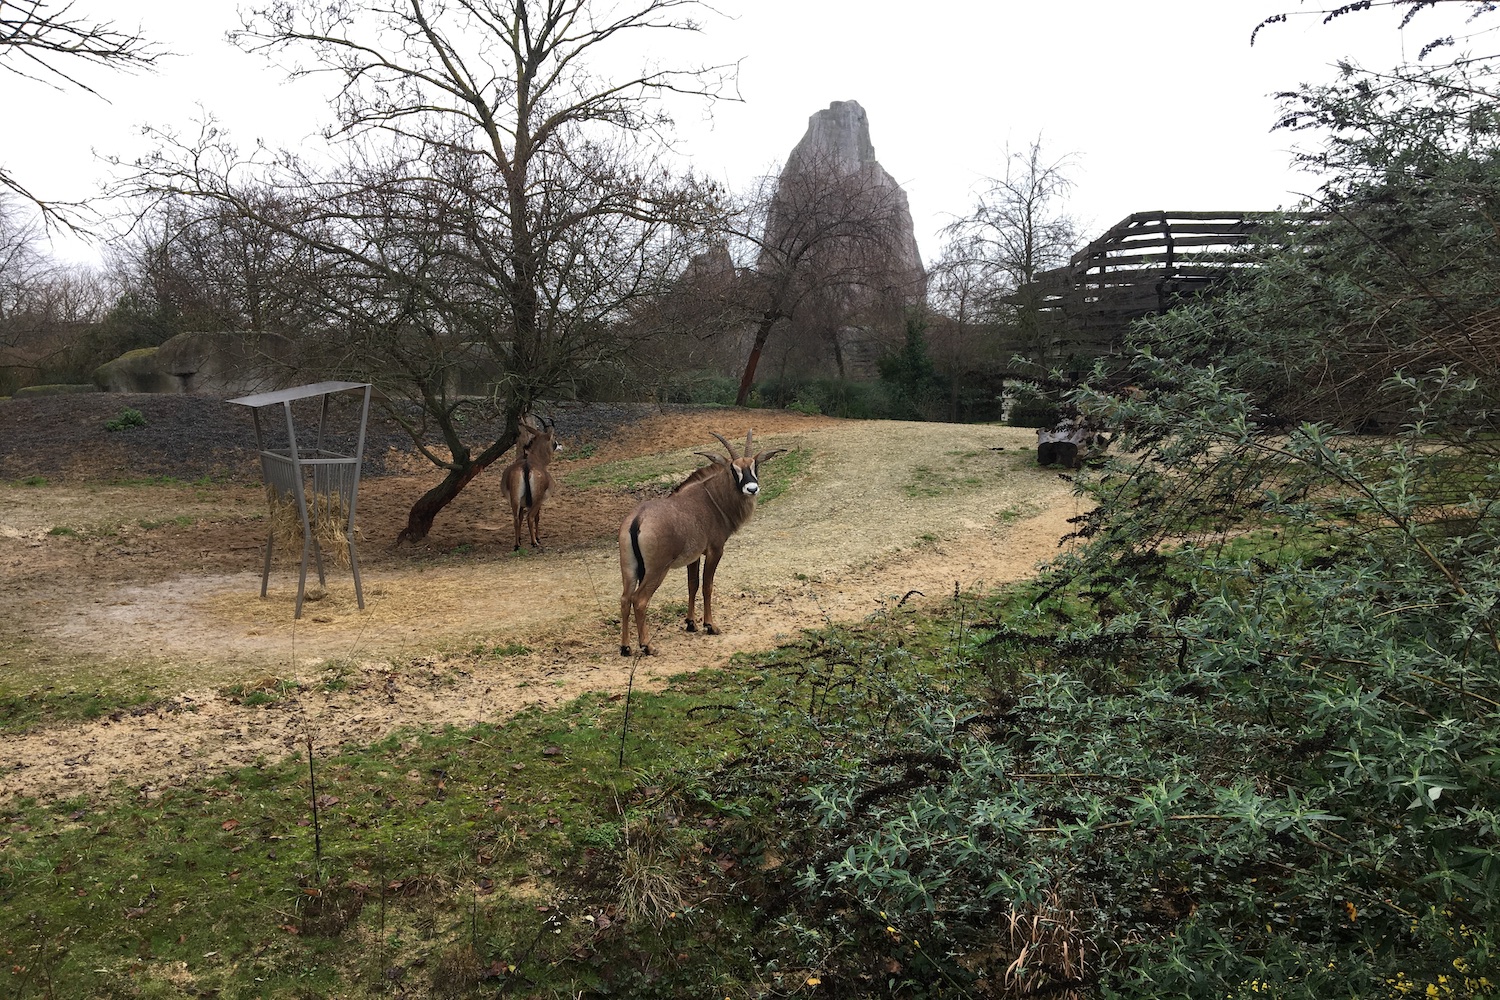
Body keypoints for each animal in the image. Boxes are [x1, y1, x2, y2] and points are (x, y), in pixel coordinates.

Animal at [498, 416, 564, 554]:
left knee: (516, 518)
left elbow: (520, 517)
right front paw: (538, 538)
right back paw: (534, 543)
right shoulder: (540, 501)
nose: (560, 445)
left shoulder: (522, 504)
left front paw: (520, 539)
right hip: (537, 500)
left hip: (515, 500)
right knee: (531, 517)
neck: (534, 458)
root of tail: (526, 467)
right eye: (553, 437)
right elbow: (537, 517)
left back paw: (516, 545)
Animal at [618, 431, 792, 656]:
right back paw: (647, 646)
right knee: (639, 600)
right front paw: (710, 625)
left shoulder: (693, 557)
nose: (752, 488)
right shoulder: (714, 551)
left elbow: (692, 584)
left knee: (624, 599)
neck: (713, 499)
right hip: (657, 570)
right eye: (733, 469)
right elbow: (707, 586)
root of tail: (638, 518)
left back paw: (625, 647)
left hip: (629, 568)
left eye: (755, 466)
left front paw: (691, 623)